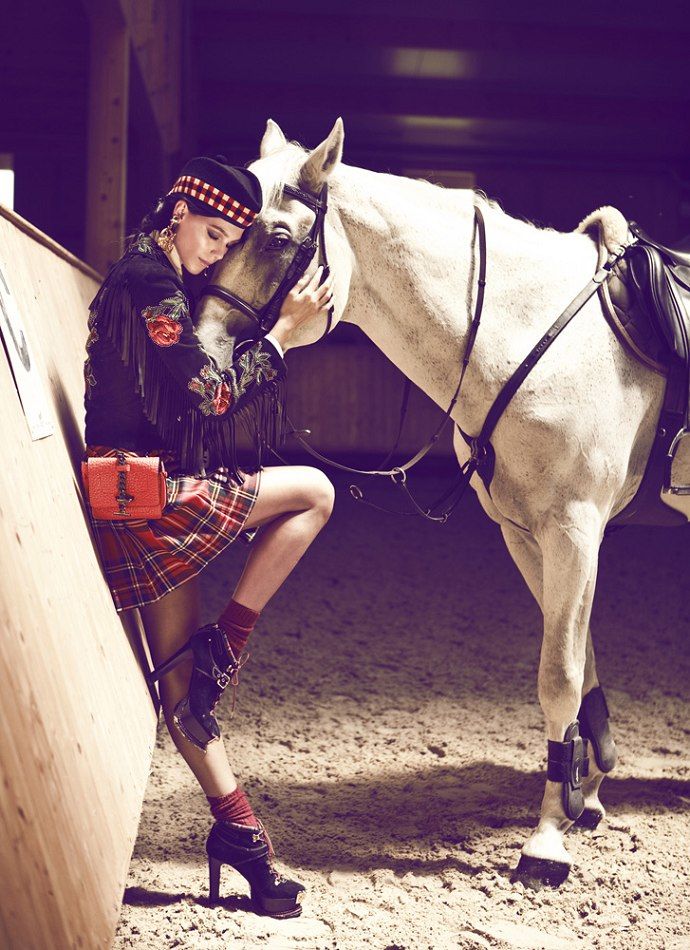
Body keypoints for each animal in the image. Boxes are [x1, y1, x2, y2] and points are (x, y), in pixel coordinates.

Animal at [194, 118, 668, 888]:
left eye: (276, 236)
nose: (200, 347)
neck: (528, 329)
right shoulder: (530, 533)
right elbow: (583, 658)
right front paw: (585, 794)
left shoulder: (573, 528)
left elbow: (560, 674)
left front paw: (546, 839)